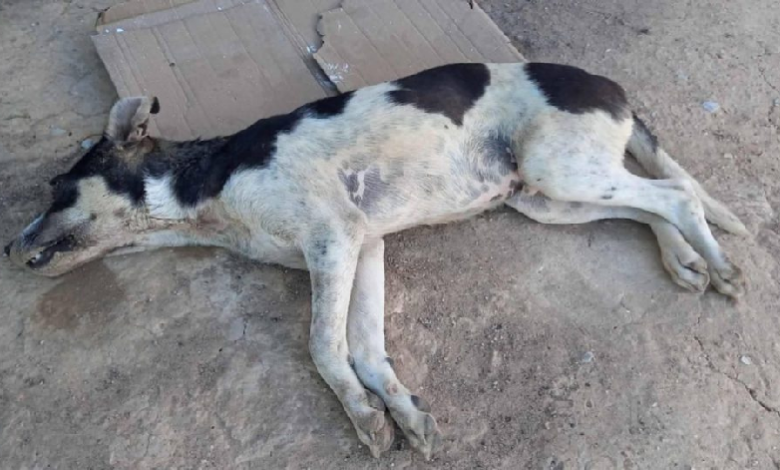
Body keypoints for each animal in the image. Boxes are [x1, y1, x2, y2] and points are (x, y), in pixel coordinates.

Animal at [4, 62, 748, 459]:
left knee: (677, 193)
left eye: (58, 188)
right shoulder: (364, 246)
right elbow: (364, 347)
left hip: (558, 170)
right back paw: (684, 261)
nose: (8, 248)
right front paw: (400, 409)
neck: (207, 189)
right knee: (650, 207)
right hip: (546, 197)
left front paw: (364, 415)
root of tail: (608, 83)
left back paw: (720, 265)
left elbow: (323, 348)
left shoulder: (333, 239)